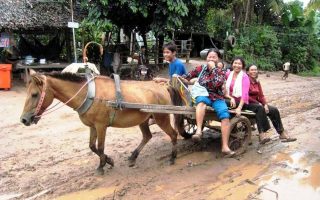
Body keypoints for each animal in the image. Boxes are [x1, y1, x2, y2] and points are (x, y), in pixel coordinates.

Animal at [20, 69, 186, 174]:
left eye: (34, 94)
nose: (24, 119)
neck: (89, 94)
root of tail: (163, 86)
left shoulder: (101, 126)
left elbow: (100, 147)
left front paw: (102, 166)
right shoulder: (92, 126)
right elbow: (92, 146)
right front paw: (109, 160)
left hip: (161, 118)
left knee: (173, 134)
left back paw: (173, 157)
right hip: (144, 119)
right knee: (147, 136)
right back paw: (133, 157)